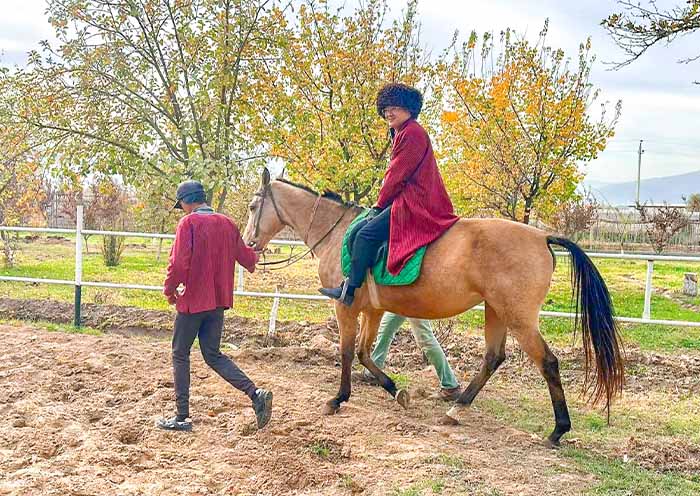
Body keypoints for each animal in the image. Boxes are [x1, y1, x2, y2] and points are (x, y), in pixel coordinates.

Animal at [242, 169, 624, 447]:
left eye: (252, 207)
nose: (249, 242)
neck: (337, 233)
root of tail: (542, 236)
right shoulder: (373, 310)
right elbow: (365, 353)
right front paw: (395, 390)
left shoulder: (345, 307)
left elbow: (348, 352)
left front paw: (338, 399)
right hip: (496, 311)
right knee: (493, 358)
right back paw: (457, 408)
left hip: (518, 318)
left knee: (547, 363)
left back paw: (558, 430)